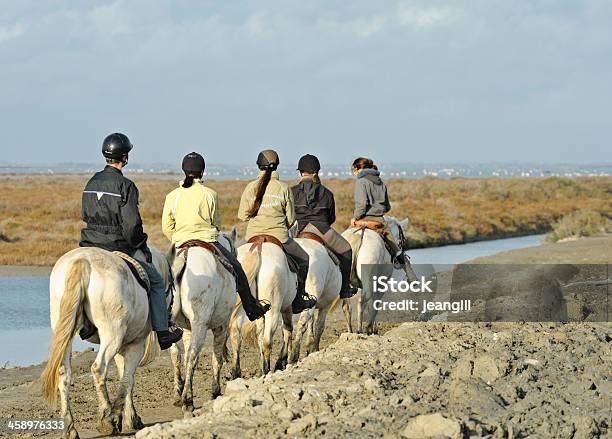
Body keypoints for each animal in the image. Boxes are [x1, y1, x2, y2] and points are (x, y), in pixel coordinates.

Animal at [40, 248, 167, 439]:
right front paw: (124, 418)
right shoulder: (136, 345)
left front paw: (127, 417)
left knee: (64, 372)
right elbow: (127, 379)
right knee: (99, 368)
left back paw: (70, 429)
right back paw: (106, 420)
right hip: (112, 334)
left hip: (66, 331)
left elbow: (124, 376)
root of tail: (82, 261)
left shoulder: (124, 346)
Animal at [171, 230, 240, 416]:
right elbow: (217, 358)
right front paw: (215, 391)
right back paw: (187, 400)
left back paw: (180, 393)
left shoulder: (187, 329)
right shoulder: (221, 326)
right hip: (200, 325)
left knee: (177, 354)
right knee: (192, 356)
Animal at [228, 241, 298, 378]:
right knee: (267, 341)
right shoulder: (286, 307)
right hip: (273, 312)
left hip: (243, 309)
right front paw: (284, 361)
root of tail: (257, 249)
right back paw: (266, 370)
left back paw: (236, 372)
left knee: (236, 335)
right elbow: (287, 330)